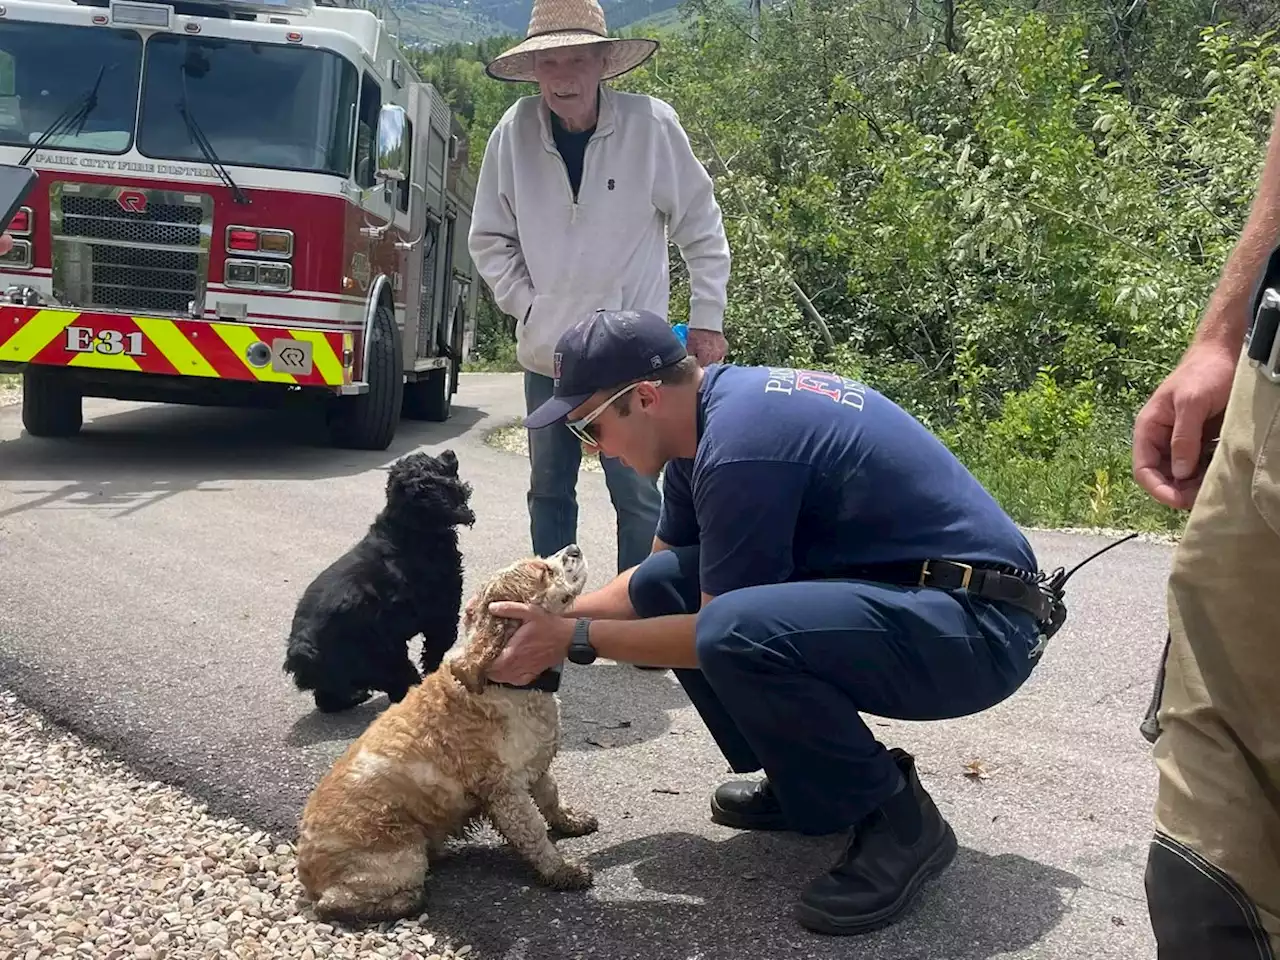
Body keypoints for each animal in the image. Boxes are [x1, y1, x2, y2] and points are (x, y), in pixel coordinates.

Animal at [282, 450, 478, 716]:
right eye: (437, 465)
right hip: (384, 657)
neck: (408, 528)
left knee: (326, 699)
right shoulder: (442, 615)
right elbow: (437, 648)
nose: (450, 452)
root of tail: (300, 649)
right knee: (400, 682)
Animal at [295, 545, 599, 921]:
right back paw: (406, 900)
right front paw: (561, 871)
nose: (573, 549)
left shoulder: (536, 767)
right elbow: (534, 834)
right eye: (545, 571)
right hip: (401, 857)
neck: (504, 682)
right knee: (334, 903)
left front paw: (571, 821)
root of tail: (307, 871)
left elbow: (552, 799)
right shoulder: (506, 792)